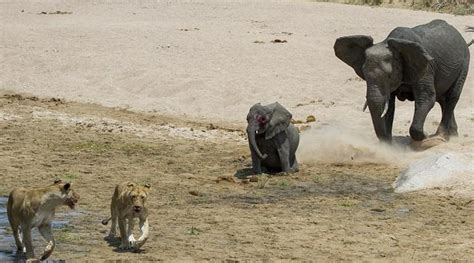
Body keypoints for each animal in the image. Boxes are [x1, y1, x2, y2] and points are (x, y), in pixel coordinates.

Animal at [334, 20, 470, 144]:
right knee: (442, 99)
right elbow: (389, 106)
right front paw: (388, 145)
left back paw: (440, 137)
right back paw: (452, 135)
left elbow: (427, 97)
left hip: (465, 62)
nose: (426, 134)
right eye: (365, 76)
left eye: (389, 76)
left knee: (452, 97)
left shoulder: (425, 68)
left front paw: (425, 137)